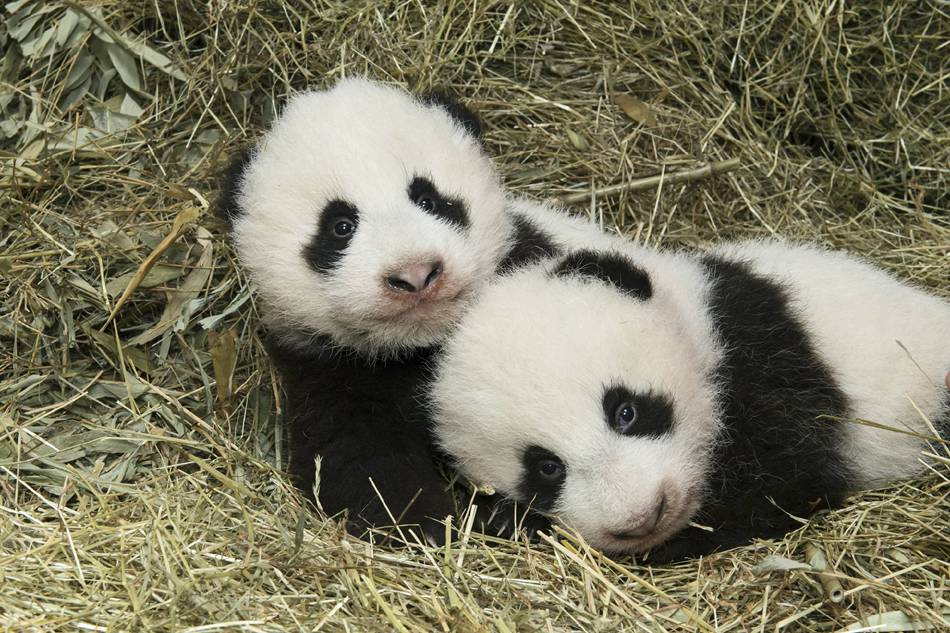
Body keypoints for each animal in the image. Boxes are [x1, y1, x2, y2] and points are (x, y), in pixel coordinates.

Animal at [217, 77, 627, 543]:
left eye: (430, 199)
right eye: (340, 227)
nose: (415, 275)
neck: (423, 343)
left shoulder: (537, 260)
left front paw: (506, 515)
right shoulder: (325, 366)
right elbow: (357, 457)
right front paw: (427, 525)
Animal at [429, 242, 950, 559]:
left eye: (626, 411)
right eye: (546, 468)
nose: (644, 517)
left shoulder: (768, 360)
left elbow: (784, 484)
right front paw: (507, 518)